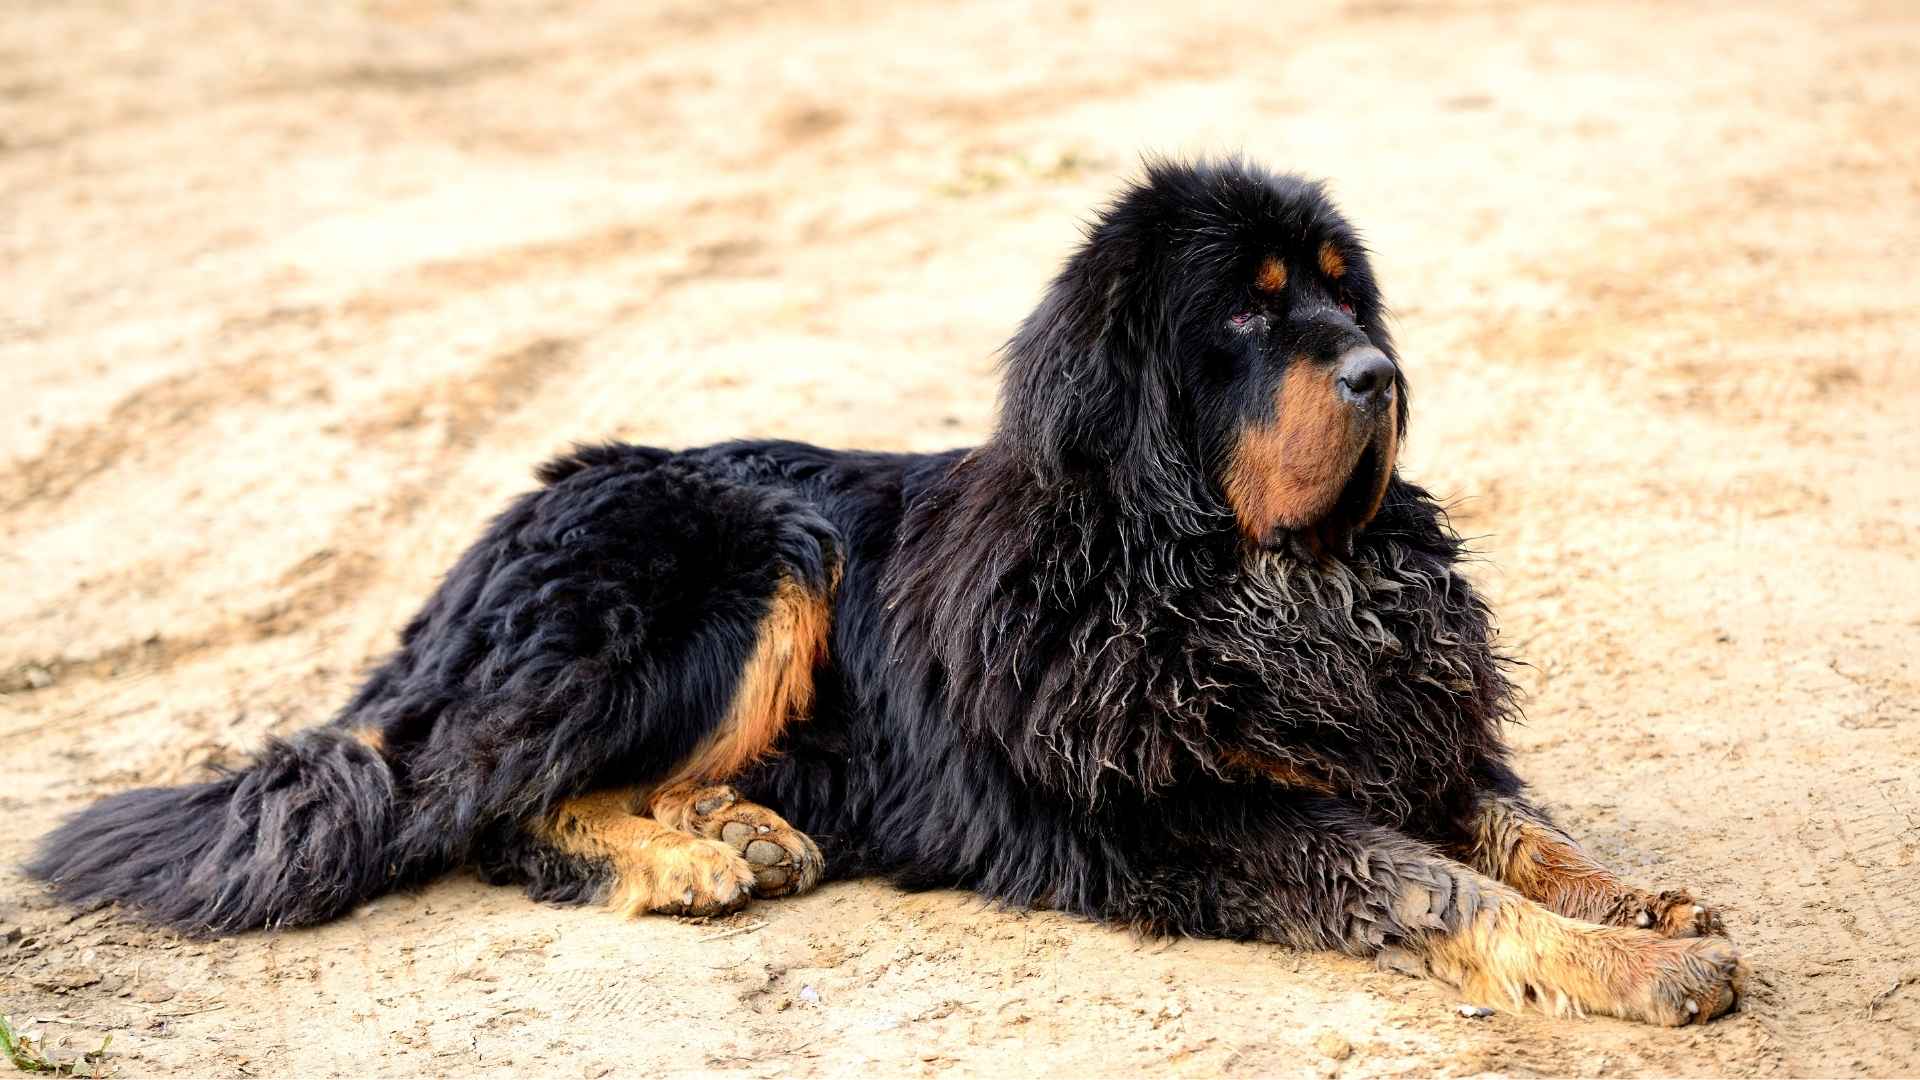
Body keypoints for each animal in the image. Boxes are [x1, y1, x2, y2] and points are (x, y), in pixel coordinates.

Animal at [26, 157, 1743, 1014]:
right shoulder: (1198, 814)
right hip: (744, 553)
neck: (1247, 580)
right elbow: (1431, 882)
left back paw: (734, 828)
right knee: (484, 808)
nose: (1383, 377)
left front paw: (1634, 898)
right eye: (1254, 318)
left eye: (1347, 296)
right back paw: (690, 862)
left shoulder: (1392, 728)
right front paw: (1637, 970)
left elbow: (1511, 824)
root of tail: (484, 548)